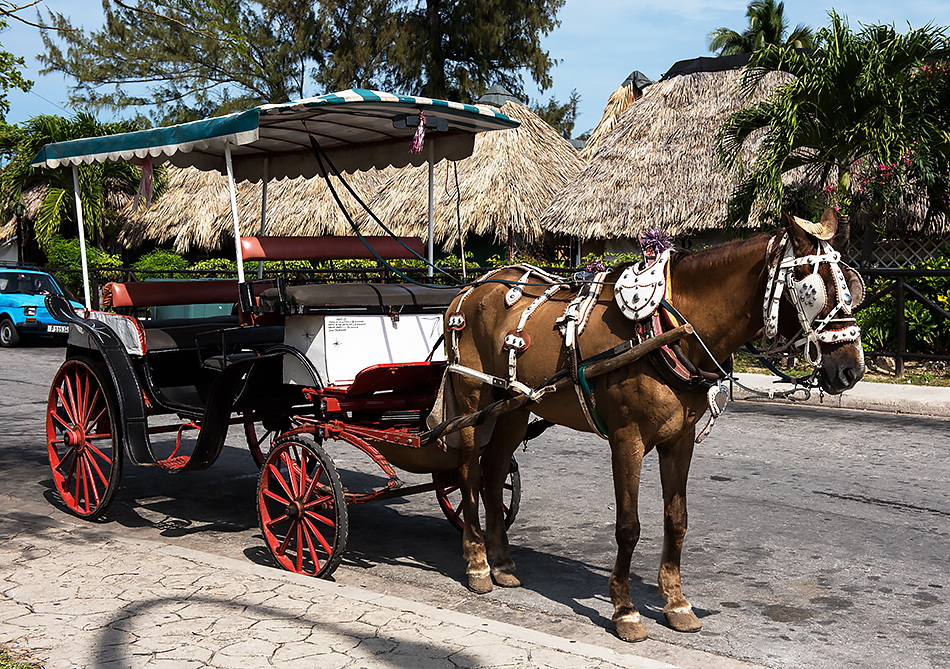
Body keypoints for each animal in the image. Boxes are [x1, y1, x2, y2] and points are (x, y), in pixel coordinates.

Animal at [442, 210, 868, 640]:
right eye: (811, 285)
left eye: (851, 286)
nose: (851, 370)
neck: (669, 331)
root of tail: (471, 288)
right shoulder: (626, 439)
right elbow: (628, 526)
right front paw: (625, 609)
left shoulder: (680, 440)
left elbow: (676, 520)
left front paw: (676, 602)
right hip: (472, 399)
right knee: (468, 473)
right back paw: (477, 563)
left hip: (513, 407)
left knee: (494, 471)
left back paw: (501, 562)